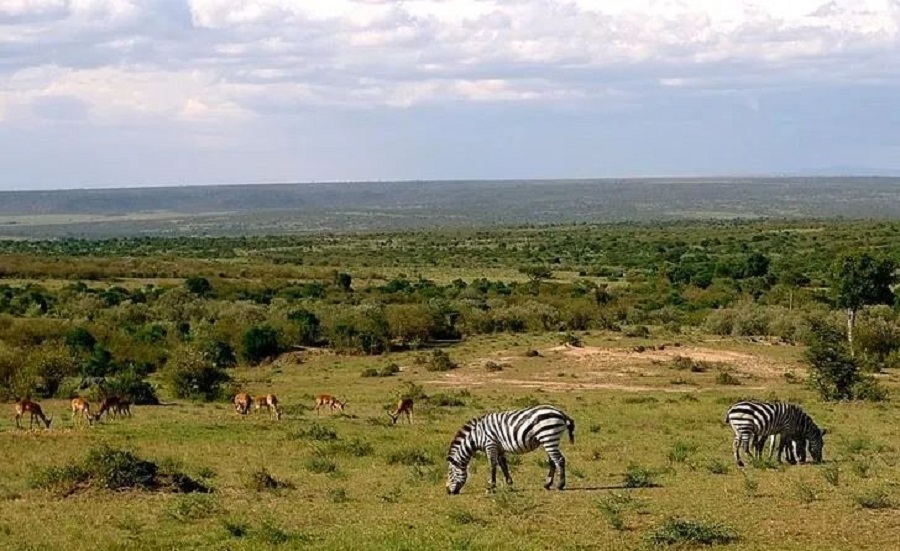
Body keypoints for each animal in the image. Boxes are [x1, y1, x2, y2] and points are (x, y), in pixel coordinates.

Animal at [444, 406, 576, 496]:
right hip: (548, 440)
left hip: (549, 437)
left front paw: (491, 487)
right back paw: (547, 484)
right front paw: (509, 483)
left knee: (559, 460)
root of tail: (561, 413)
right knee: (553, 461)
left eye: (450, 474)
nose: (448, 491)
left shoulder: (490, 444)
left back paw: (560, 485)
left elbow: (492, 465)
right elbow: (503, 465)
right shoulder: (499, 447)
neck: (476, 436)